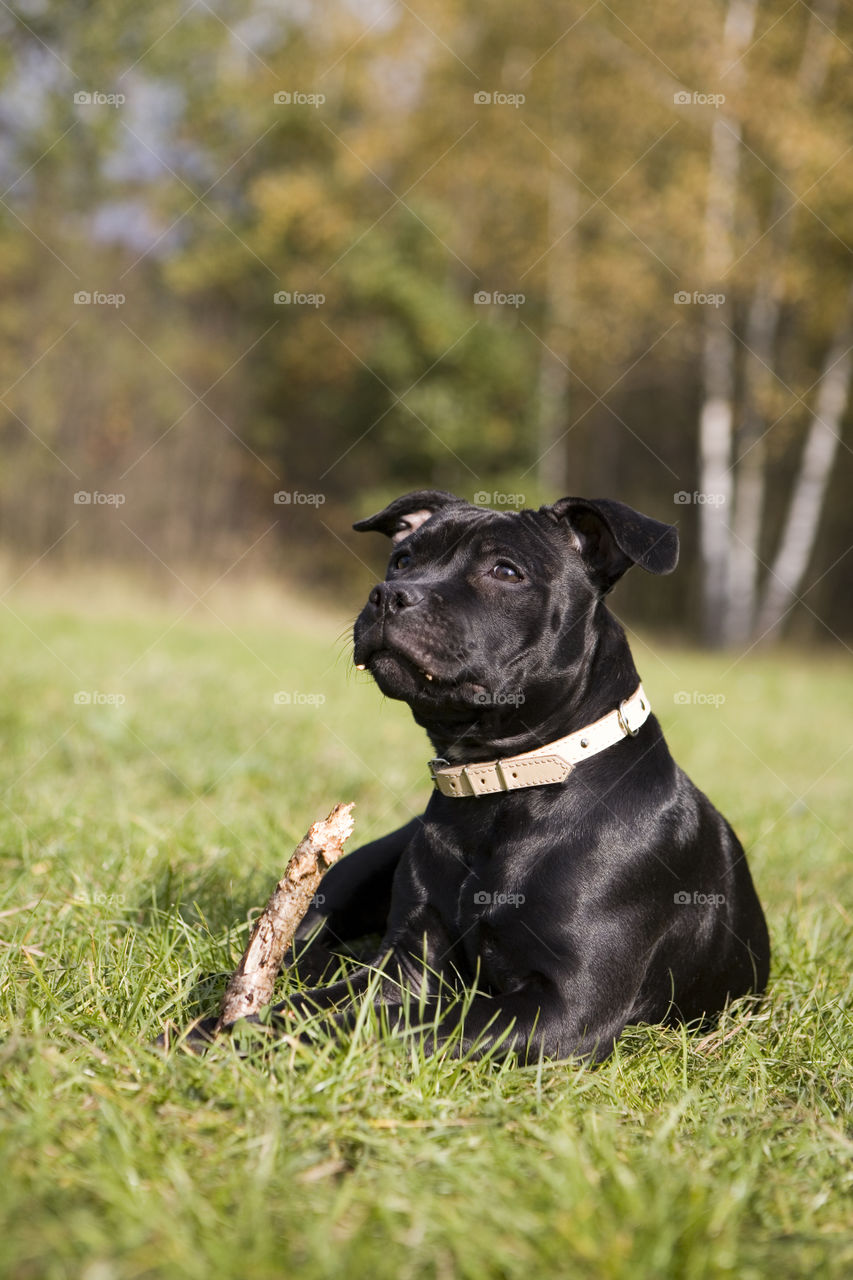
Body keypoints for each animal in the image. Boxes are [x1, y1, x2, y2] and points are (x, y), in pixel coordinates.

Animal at [270, 488, 763, 1059]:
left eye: (505, 571)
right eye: (403, 560)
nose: (388, 595)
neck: (502, 785)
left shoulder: (568, 1008)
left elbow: (403, 1023)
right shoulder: (405, 963)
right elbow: (319, 1005)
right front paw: (230, 1024)